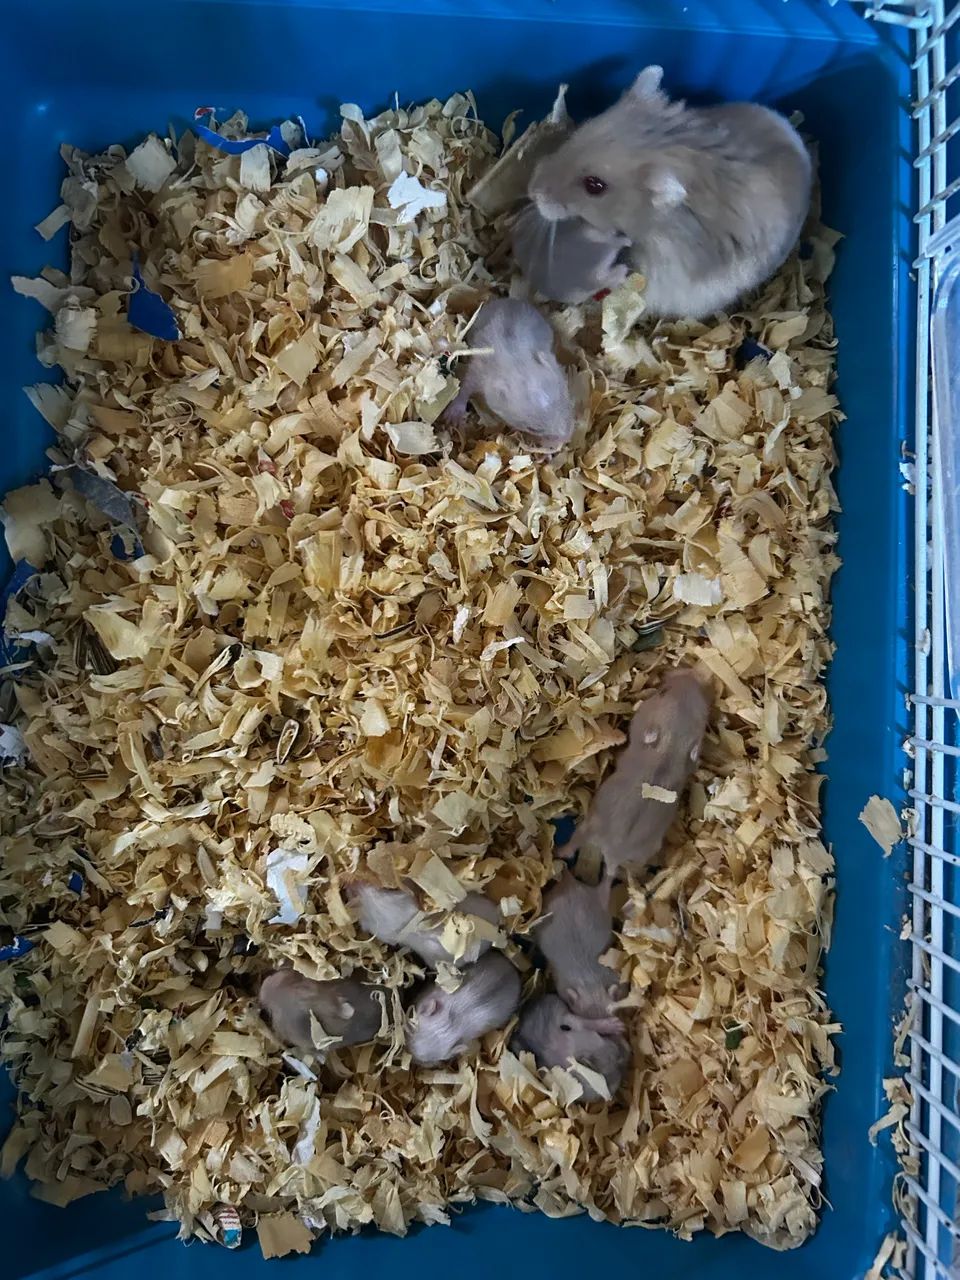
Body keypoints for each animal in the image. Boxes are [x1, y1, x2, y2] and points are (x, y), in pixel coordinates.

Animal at [445, 298, 574, 450]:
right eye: (533, 429)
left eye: (567, 403)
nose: (565, 440)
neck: (517, 361)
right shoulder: (478, 370)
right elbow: (464, 388)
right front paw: (452, 417)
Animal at [560, 668, 711, 877]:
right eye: (704, 709)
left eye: (662, 692)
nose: (690, 674)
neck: (670, 748)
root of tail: (613, 856)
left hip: (589, 825)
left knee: (572, 846)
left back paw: (560, 854)